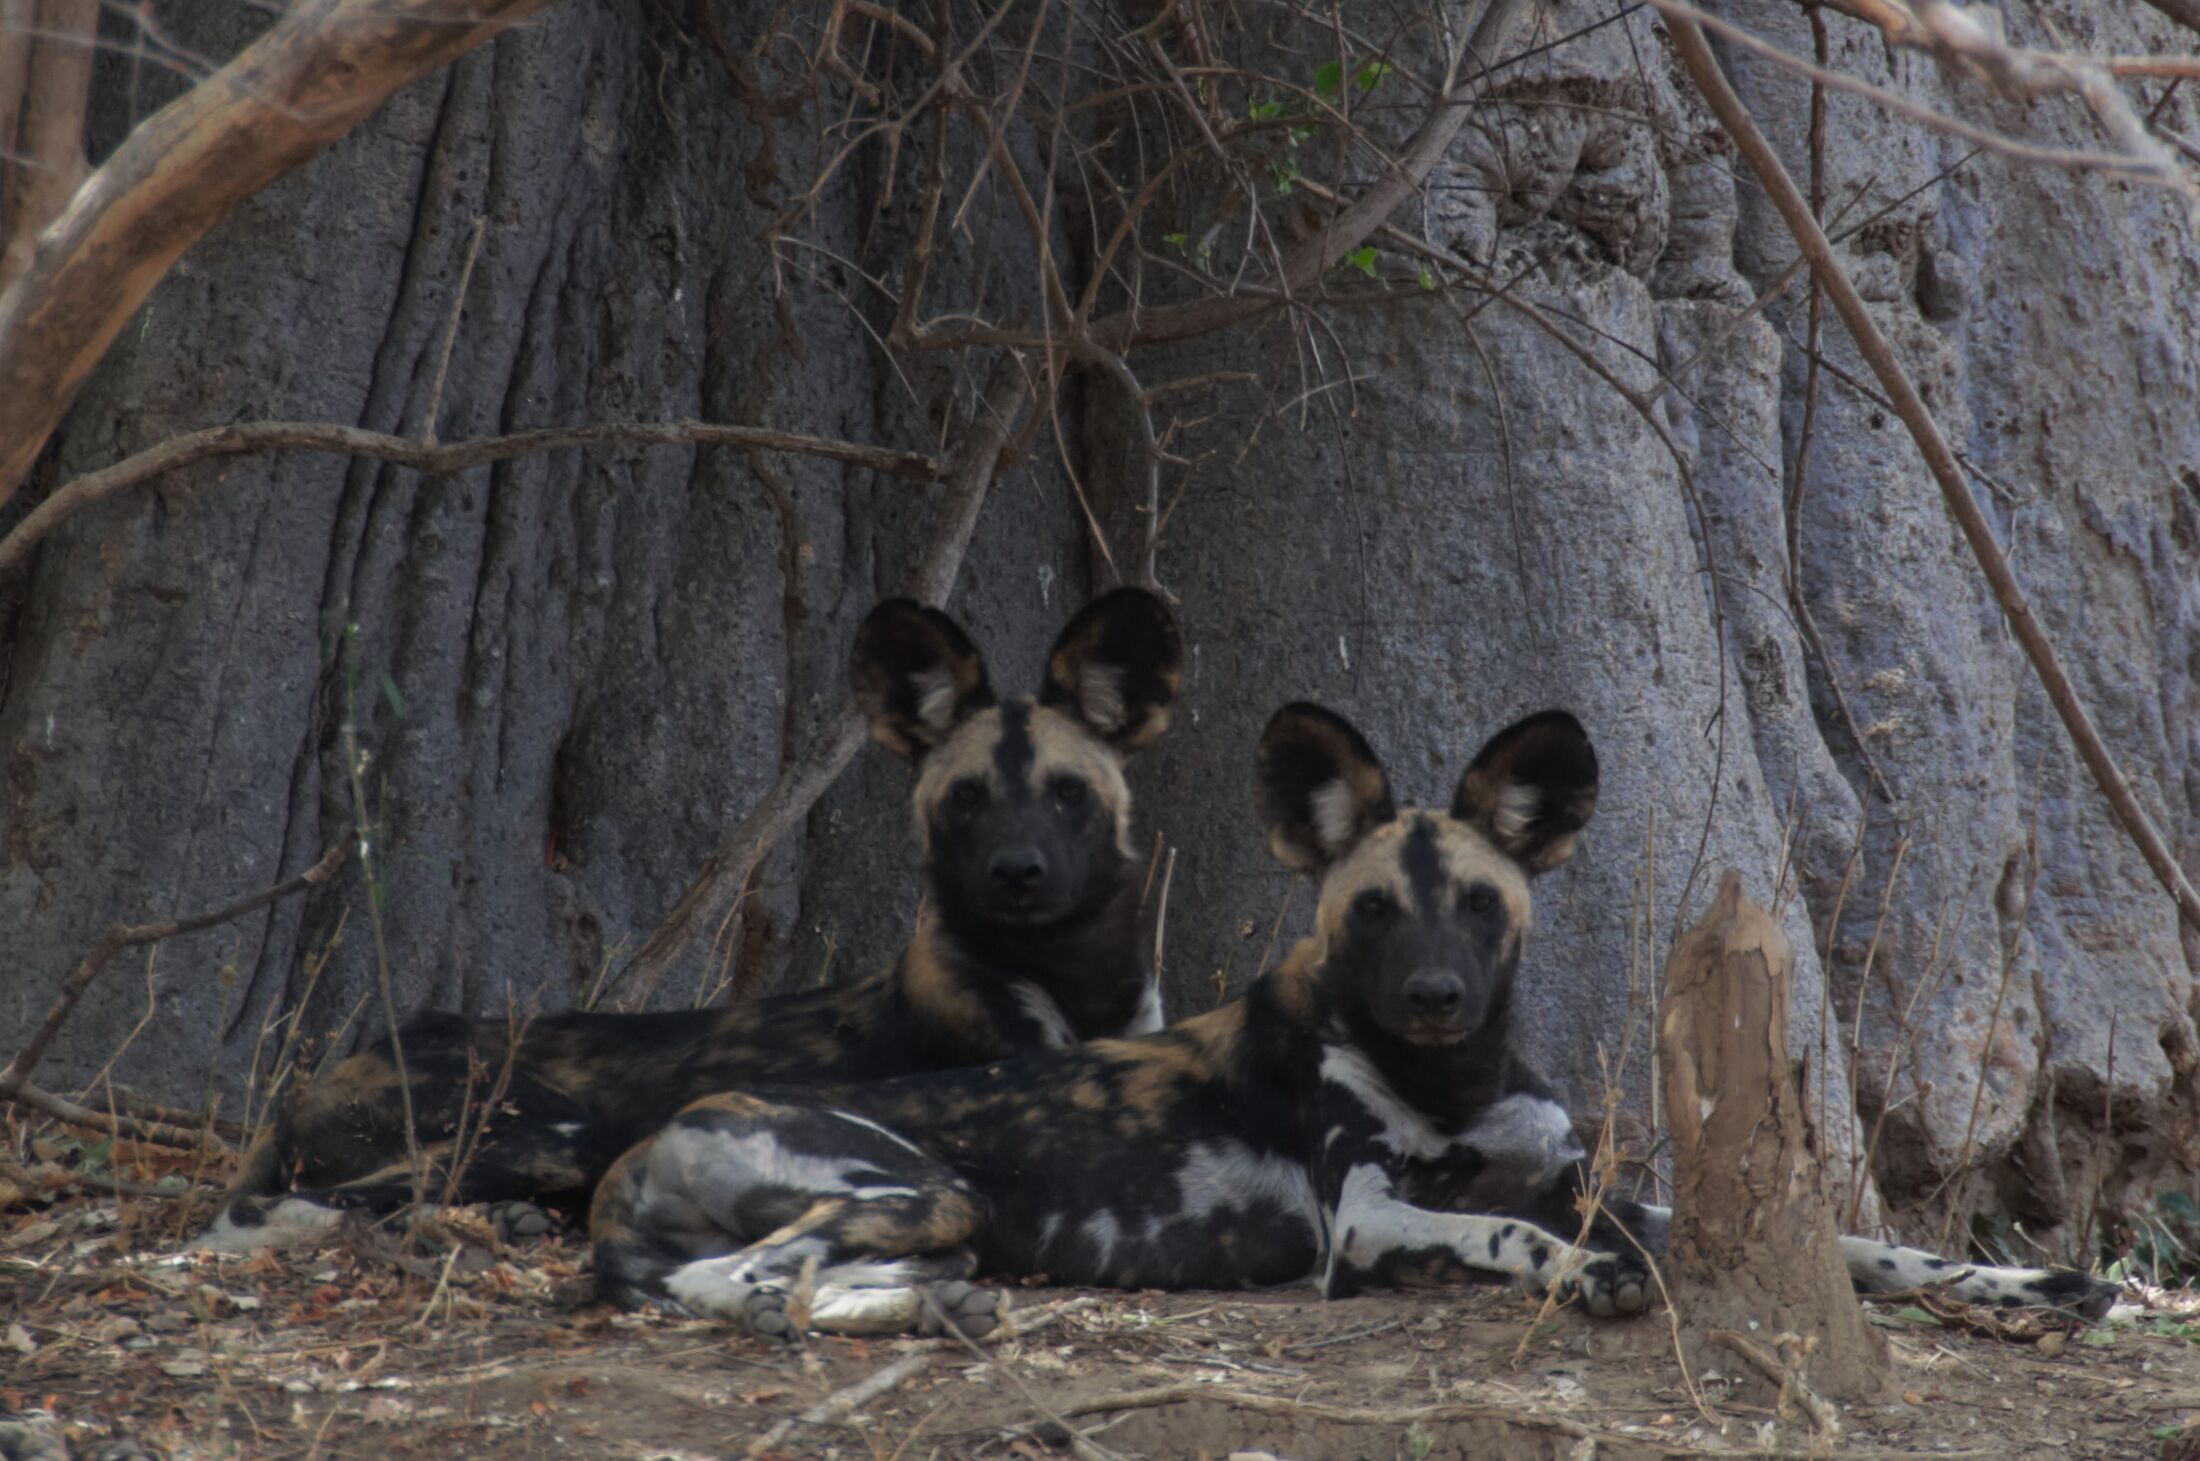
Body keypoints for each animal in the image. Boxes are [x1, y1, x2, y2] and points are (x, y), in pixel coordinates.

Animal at [206, 589, 1188, 1249]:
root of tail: (331, 1070)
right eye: (968, 798)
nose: (1016, 873)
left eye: (1066, 793)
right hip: (548, 1127)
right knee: (301, 1204)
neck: (1071, 972)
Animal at [589, 704, 2129, 1337]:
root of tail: (643, 1145)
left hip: (923, 1210)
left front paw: (2025, 1285)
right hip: (916, 1185)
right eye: (1375, 910)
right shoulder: (1370, 1226)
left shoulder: (1601, 1186)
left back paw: (917, 1307)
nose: (1436, 997)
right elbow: (1506, 1235)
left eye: (1480, 909)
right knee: (723, 1281)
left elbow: (1863, 1246)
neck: (1451, 1081)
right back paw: (872, 1309)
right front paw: (1586, 1280)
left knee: (764, 1276)